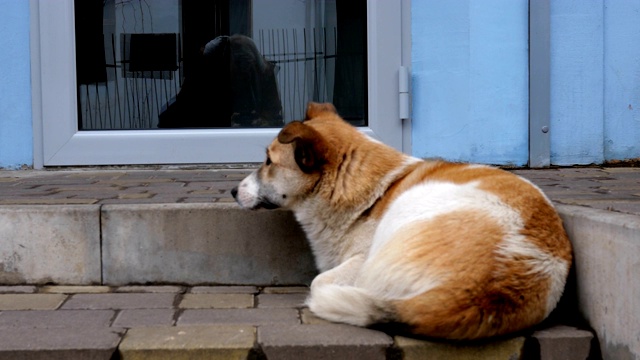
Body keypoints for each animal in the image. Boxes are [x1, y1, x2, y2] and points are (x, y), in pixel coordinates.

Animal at [232, 102, 572, 338]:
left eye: (268, 161)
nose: (233, 191)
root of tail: (482, 292)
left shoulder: (360, 260)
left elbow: (320, 280)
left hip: (409, 208)